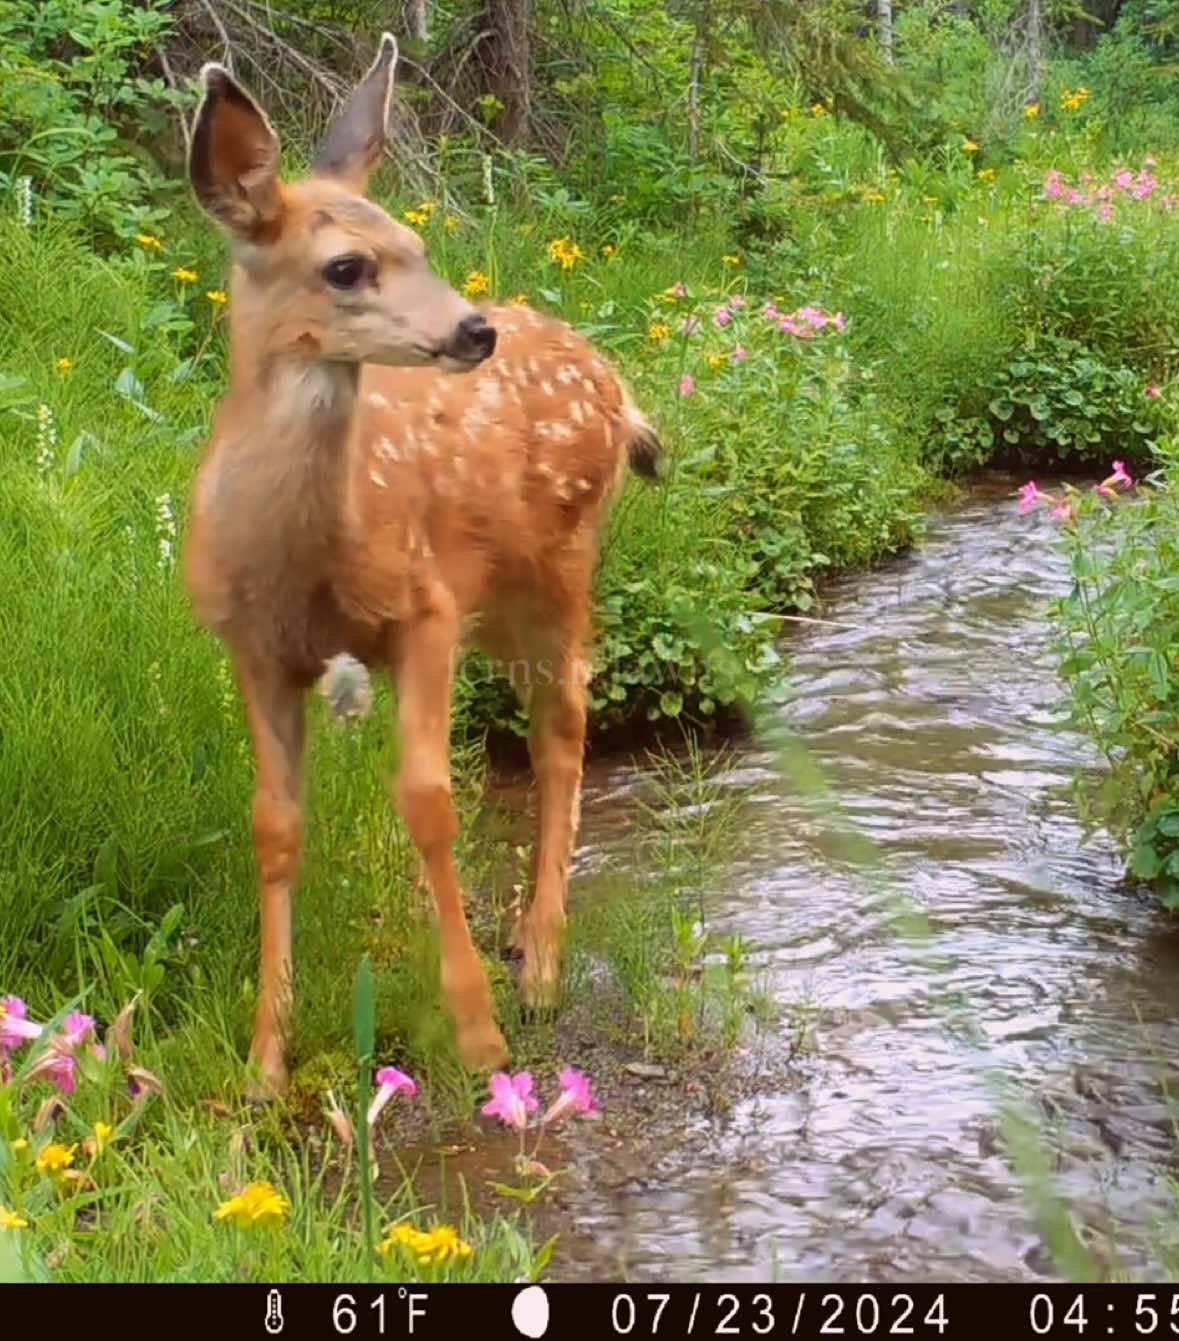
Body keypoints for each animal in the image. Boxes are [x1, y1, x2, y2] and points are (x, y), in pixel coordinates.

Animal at [185, 34, 662, 1098]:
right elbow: (273, 827)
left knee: (561, 733)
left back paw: (539, 963)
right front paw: (262, 1065)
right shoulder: (251, 648)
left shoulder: (425, 610)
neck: (300, 562)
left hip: (559, 570)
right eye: (346, 265)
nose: (471, 329)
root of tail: (615, 382)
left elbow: (429, 800)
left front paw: (480, 1034)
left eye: (417, 243)